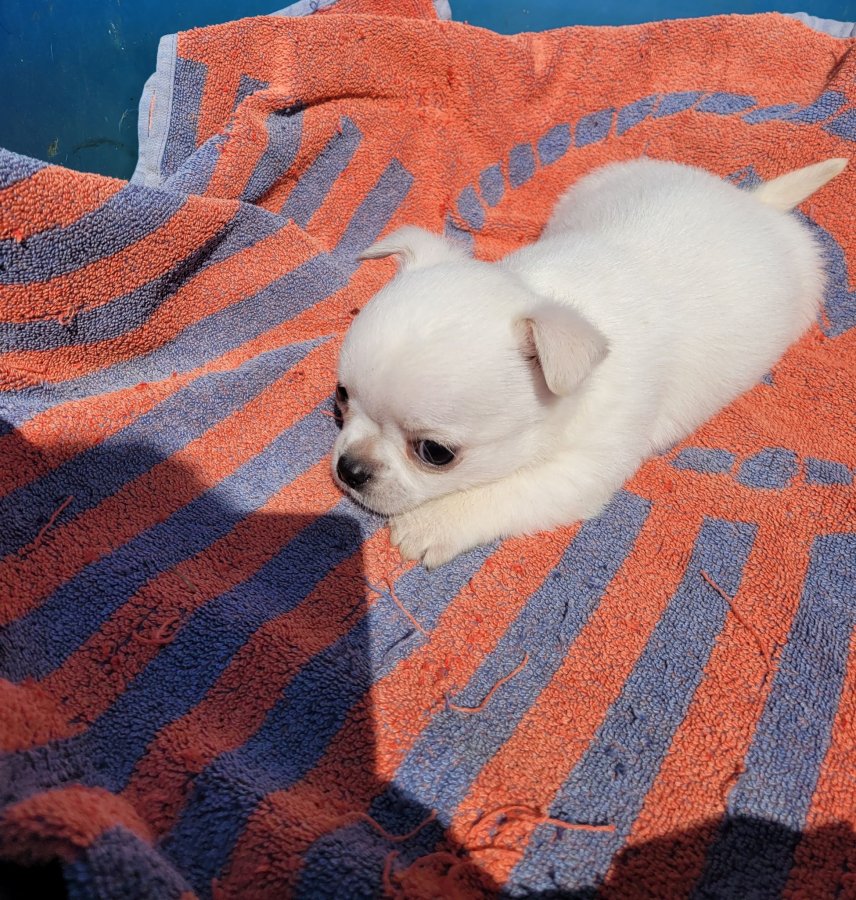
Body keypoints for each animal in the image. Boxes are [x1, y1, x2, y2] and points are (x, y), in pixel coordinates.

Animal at [332, 156, 847, 568]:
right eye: (340, 397)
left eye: (435, 453)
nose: (349, 469)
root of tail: (757, 204)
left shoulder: (581, 469)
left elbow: (505, 490)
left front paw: (431, 523)